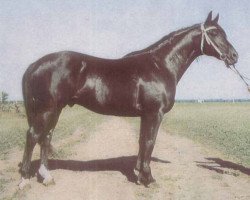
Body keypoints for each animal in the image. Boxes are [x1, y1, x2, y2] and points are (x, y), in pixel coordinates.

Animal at [19, 11, 238, 188]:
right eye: (214, 33)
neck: (160, 65)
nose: (234, 56)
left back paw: (46, 176)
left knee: (46, 137)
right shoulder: (154, 113)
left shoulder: (144, 115)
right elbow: (149, 141)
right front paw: (149, 179)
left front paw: (139, 174)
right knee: (33, 136)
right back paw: (24, 180)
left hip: (55, 110)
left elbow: (142, 142)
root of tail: (34, 65)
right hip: (46, 110)